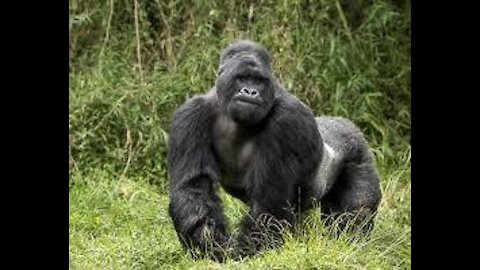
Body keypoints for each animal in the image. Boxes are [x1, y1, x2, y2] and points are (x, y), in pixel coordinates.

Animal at [167, 39, 380, 260]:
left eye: (259, 81)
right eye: (242, 78)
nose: (250, 92)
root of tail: (347, 125)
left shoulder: (287, 119)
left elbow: (269, 201)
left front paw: (243, 252)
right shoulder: (190, 114)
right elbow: (194, 185)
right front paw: (210, 243)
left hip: (357, 151)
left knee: (353, 213)